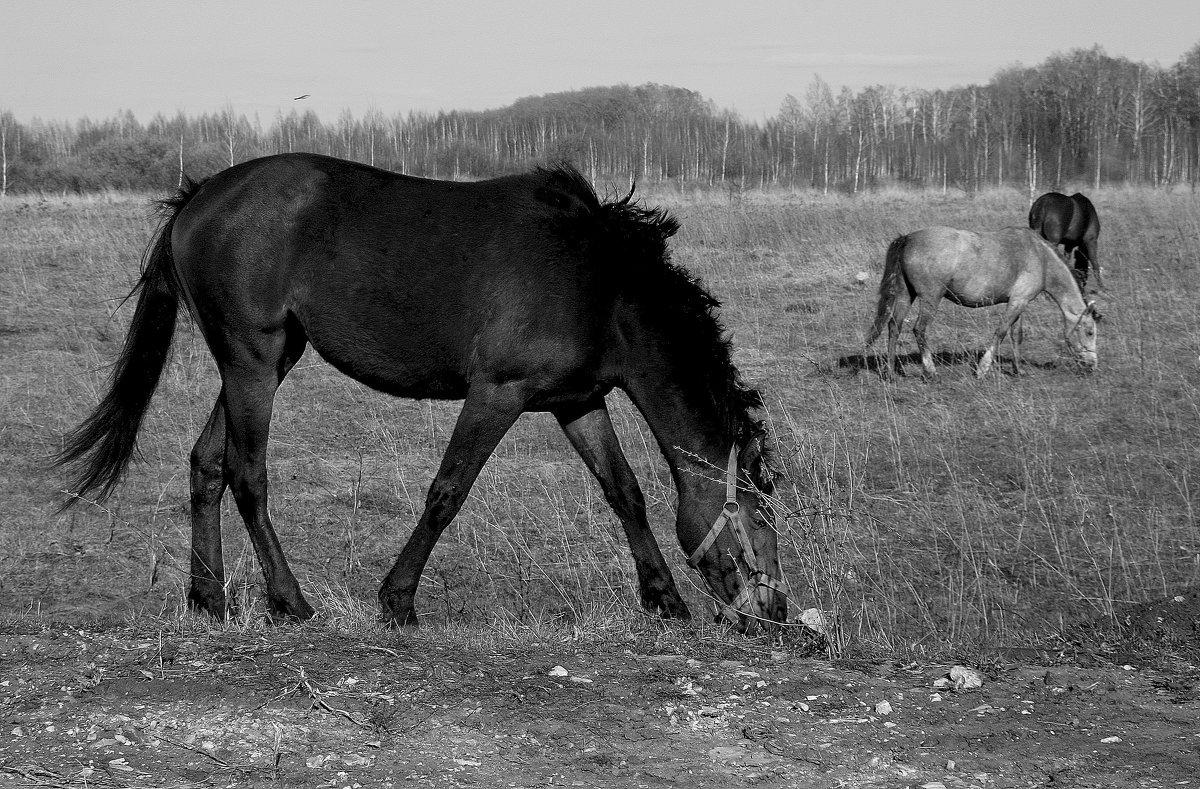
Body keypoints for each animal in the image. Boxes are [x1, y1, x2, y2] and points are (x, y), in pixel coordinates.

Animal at [54, 152, 787, 633]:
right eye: (758, 522)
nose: (776, 617)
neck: (599, 282)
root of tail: (200, 196)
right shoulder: (497, 394)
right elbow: (447, 492)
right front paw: (398, 600)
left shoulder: (577, 403)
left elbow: (625, 493)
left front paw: (664, 598)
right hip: (253, 362)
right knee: (246, 472)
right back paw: (289, 602)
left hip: (264, 361)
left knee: (206, 463)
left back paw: (209, 599)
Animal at [864, 224, 1099, 378]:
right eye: (1089, 332)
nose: (1092, 364)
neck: (1041, 258)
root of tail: (908, 239)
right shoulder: (1017, 303)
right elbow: (1001, 332)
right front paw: (982, 368)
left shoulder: (1019, 303)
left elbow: (1016, 335)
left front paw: (1018, 370)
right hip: (931, 298)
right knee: (919, 330)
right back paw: (930, 371)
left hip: (906, 295)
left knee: (894, 326)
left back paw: (891, 373)